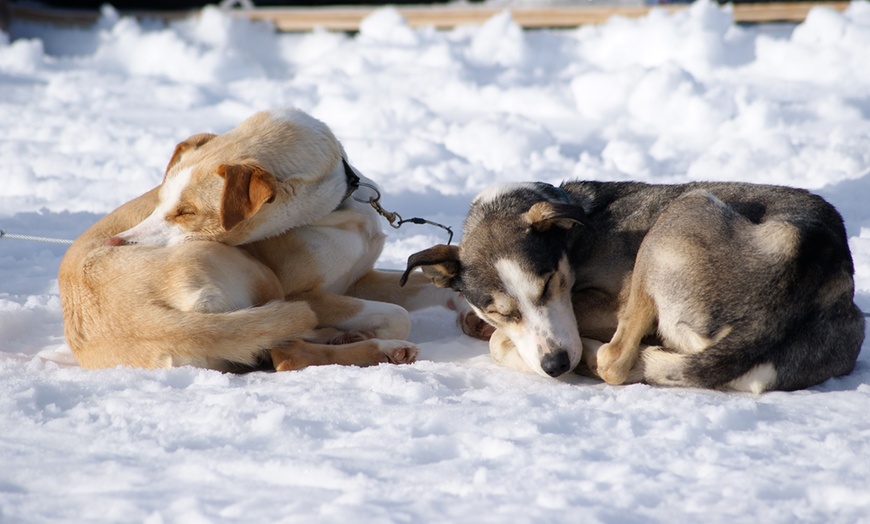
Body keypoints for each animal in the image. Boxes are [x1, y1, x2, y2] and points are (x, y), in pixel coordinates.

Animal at [60, 108, 484, 372]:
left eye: (185, 211)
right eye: (163, 202)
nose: (115, 244)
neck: (335, 210)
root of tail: (146, 319)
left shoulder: (361, 278)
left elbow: (431, 286)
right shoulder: (307, 294)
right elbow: (398, 316)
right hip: (259, 279)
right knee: (286, 356)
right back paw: (378, 347)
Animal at [404, 182, 864, 390]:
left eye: (549, 283)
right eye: (498, 309)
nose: (556, 365)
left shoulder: (609, 302)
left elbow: (501, 344)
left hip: (681, 212)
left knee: (614, 362)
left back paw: (594, 359)